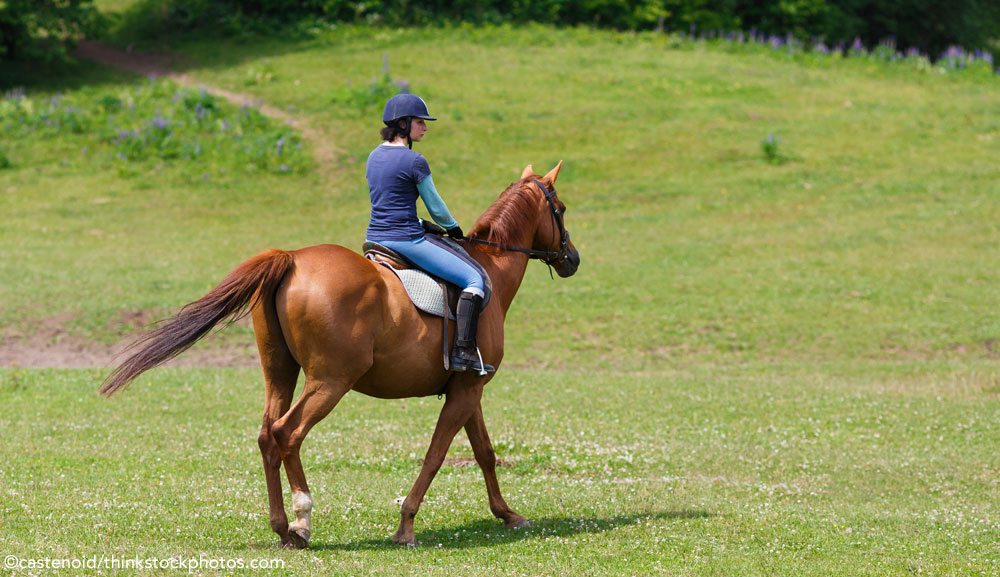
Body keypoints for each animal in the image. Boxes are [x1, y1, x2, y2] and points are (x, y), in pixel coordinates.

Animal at [98, 161, 584, 544]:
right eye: (560, 210)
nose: (573, 259)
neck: (489, 269)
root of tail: (292, 258)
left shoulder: (467, 387)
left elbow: (483, 451)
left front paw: (508, 514)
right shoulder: (466, 390)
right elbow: (436, 455)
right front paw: (406, 526)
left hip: (280, 372)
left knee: (267, 435)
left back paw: (282, 527)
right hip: (331, 381)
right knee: (288, 433)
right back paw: (303, 519)